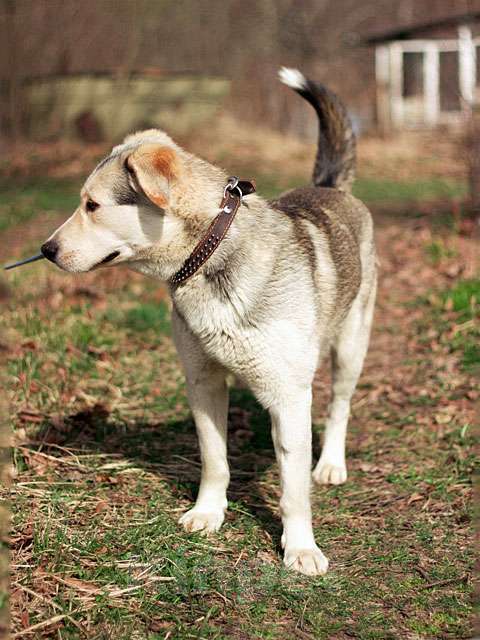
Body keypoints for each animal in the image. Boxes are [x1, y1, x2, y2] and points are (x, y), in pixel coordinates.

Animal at [38, 69, 376, 576]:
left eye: (92, 205)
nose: (46, 250)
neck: (209, 258)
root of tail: (331, 186)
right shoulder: (203, 381)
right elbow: (215, 460)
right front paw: (208, 512)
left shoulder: (289, 395)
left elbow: (294, 490)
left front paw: (300, 548)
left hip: (352, 346)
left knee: (339, 407)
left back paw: (331, 464)